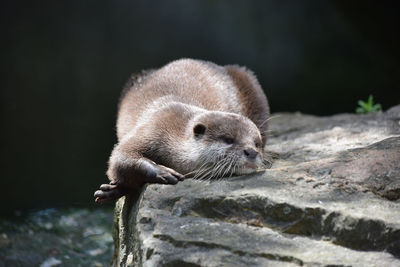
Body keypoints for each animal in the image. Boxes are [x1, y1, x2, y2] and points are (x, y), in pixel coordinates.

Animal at [94, 59, 268, 203]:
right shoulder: (153, 128)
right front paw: (162, 171)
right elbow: (121, 156)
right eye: (228, 139)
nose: (251, 152)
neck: (173, 134)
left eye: (256, 144)